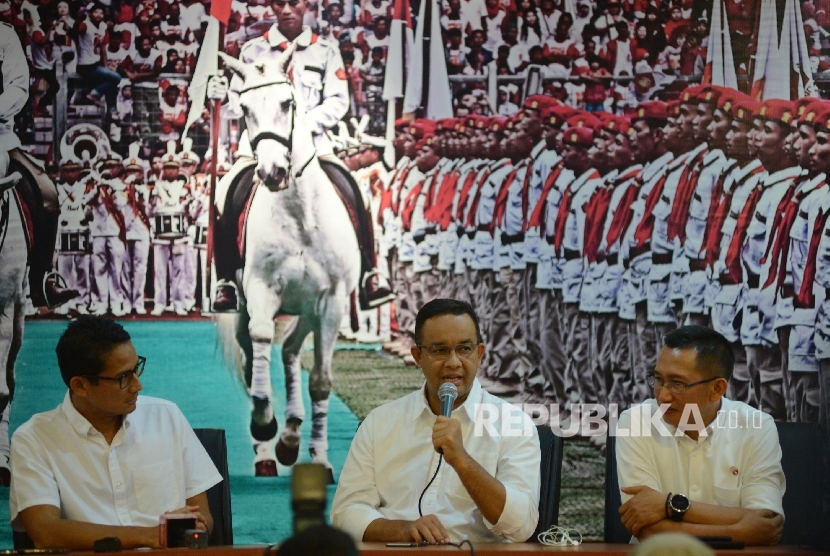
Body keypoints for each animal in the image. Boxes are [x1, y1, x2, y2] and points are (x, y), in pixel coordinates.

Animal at [216, 45, 360, 480]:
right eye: (245, 108)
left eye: (288, 103)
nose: (273, 172)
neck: (299, 215)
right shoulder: (261, 292)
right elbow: (261, 345)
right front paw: (265, 423)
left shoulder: (331, 302)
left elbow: (321, 381)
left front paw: (320, 457)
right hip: (247, 305)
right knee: (257, 355)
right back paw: (268, 450)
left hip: (311, 309)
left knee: (293, 352)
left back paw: (294, 436)